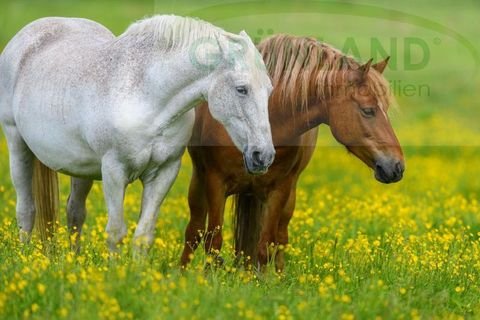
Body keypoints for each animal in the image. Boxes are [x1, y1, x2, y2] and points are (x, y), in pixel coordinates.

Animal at [0, 15, 276, 252]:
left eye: (269, 89)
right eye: (241, 89)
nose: (263, 155)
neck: (147, 97)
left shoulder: (163, 172)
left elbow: (143, 235)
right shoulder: (114, 170)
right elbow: (115, 232)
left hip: (81, 168)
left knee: (75, 212)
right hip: (17, 145)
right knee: (26, 210)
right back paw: (26, 256)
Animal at [181, 35, 404, 270]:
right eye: (368, 110)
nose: (397, 166)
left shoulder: (279, 189)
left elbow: (265, 246)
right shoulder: (216, 182)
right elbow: (212, 241)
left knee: (280, 238)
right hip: (199, 181)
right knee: (194, 231)